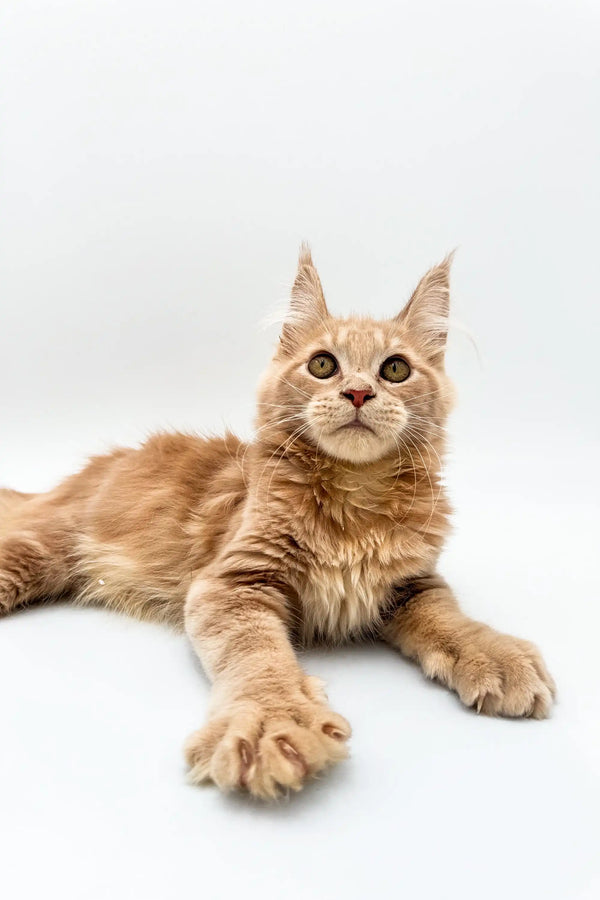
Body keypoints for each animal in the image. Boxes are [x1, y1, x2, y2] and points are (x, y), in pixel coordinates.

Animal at [0, 248, 556, 800]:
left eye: (395, 369)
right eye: (323, 364)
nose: (358, 393)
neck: (356, 500)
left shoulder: (414, 582)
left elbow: (450, 618)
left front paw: (495, 655)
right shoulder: (233, 582)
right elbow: (257, 657)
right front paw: (273, 723)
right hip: (41, 547)